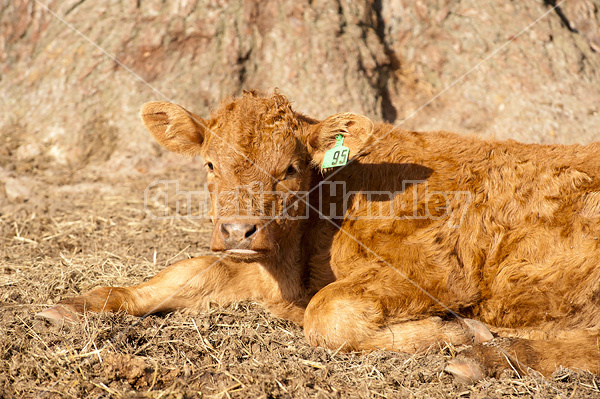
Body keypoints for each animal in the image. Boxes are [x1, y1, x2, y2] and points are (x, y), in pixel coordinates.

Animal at [37, 92, 600, 382]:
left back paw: (484, 356)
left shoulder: (437, 267)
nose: (238, 228)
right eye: (210, 164)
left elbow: (327, 313)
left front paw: (451, 332)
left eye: (289, 168)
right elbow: (185, 273)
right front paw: (76, 304)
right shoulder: (258, 266)